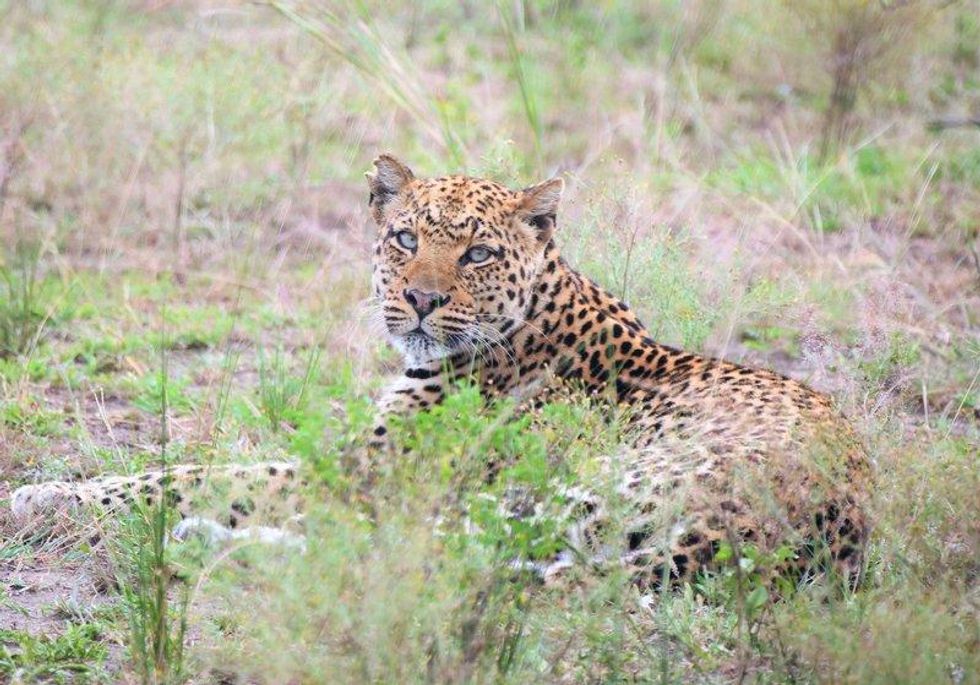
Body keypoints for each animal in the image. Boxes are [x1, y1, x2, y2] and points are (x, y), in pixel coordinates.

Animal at [10, 154, 872, 588]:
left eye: (477, 252)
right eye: (404, 238)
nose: (421, 299)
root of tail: (822, 526)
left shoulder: (366, 471)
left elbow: (197, 473)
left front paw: (45, 494)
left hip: (579, 491)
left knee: (411, 556)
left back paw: (203, 546)